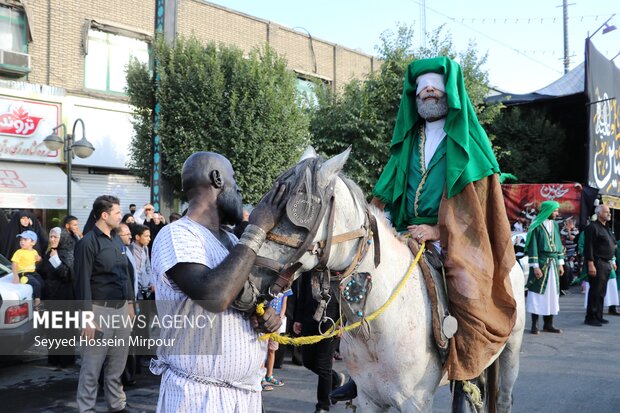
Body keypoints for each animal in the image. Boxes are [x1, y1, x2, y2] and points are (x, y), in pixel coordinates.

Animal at [249, 146, 524, 410]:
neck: (377, 328)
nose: (250, 277)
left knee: (501, 397)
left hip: (511, 351)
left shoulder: (416, 403)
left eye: (298, 216)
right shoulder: (369, 398)